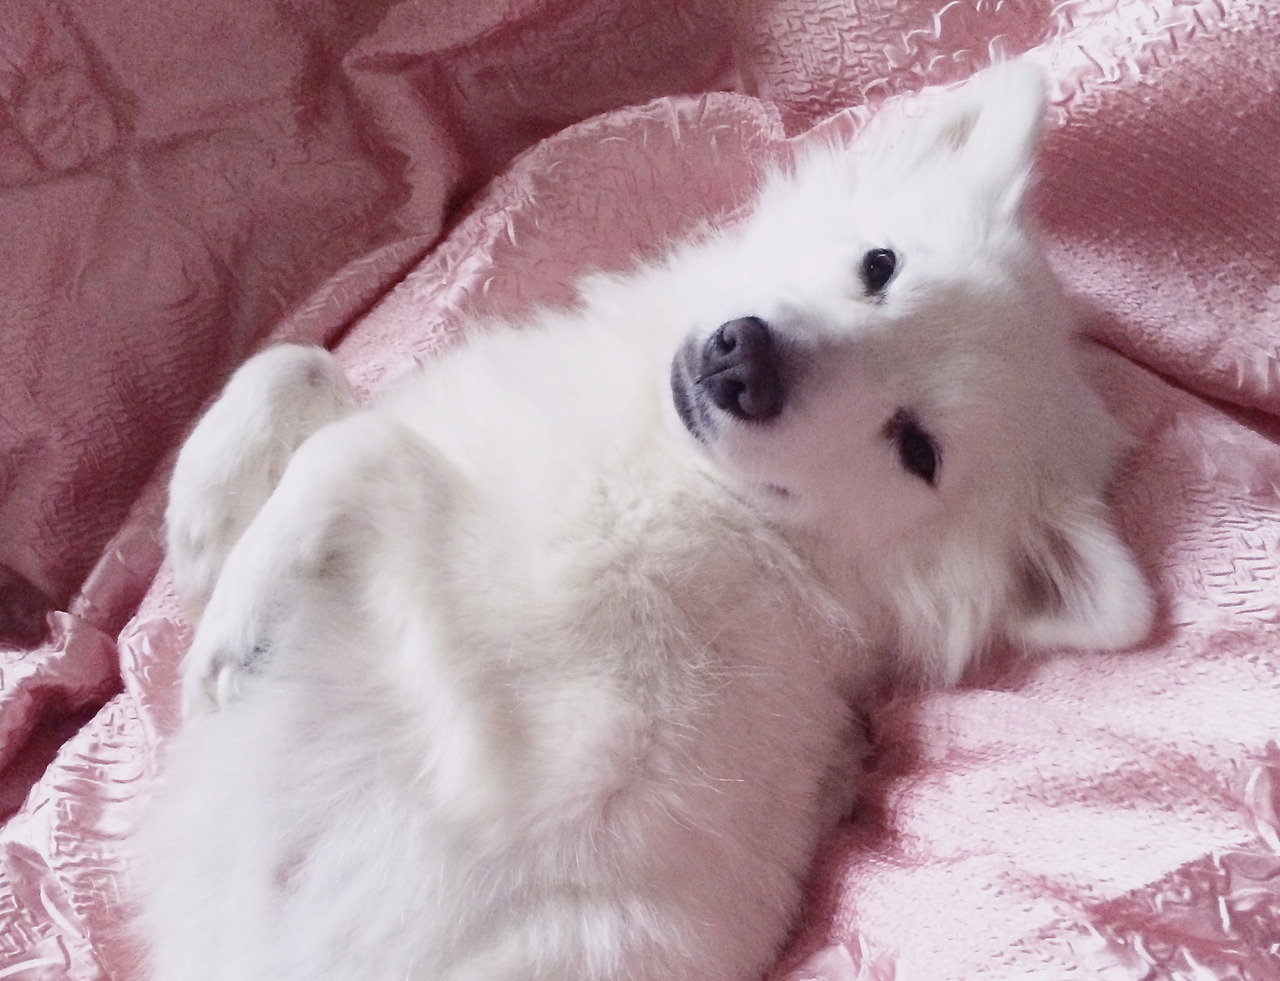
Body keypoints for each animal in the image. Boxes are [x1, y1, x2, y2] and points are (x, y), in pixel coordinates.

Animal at [136, 63, 1153, 981]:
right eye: (881, 267)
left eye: (917, 448)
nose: (745, 360)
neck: (693, 485)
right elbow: (297, 362)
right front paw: (204, 533)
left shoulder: (533, 749)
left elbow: (366, 451)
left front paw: (236, 626)